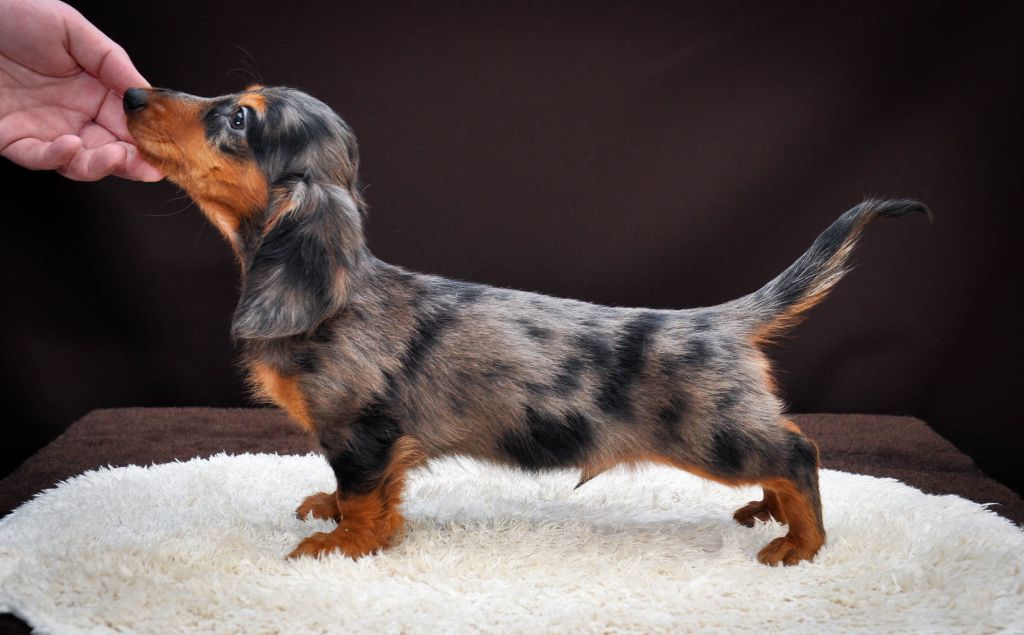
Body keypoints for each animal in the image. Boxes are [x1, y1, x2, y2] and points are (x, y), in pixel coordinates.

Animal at [124, 84, 927, 566]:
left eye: (238, 118)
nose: (130, 93)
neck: (337, 294)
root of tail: (719, 321)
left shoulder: (360, 433)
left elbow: (362, 498)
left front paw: (339, 545)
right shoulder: (367, 444)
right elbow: (367, 492)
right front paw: (339, 518)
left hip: (713, 434)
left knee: (799, 451)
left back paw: (804, 543)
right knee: (783, 456)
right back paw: (769, 511)